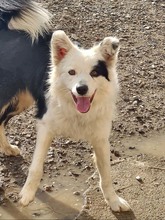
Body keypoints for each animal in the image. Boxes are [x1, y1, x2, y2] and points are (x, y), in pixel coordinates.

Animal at [0, 0, 131, 213]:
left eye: (95, 73)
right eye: (71, 72)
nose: (81, 89)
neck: (75, 109)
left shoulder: (101, 137)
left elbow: (106, 174)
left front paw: (114, 200)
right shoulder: (45, 125)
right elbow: (36, 167)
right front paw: (27, 195)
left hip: (23, 99)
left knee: (1, 121)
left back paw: (7, 148)